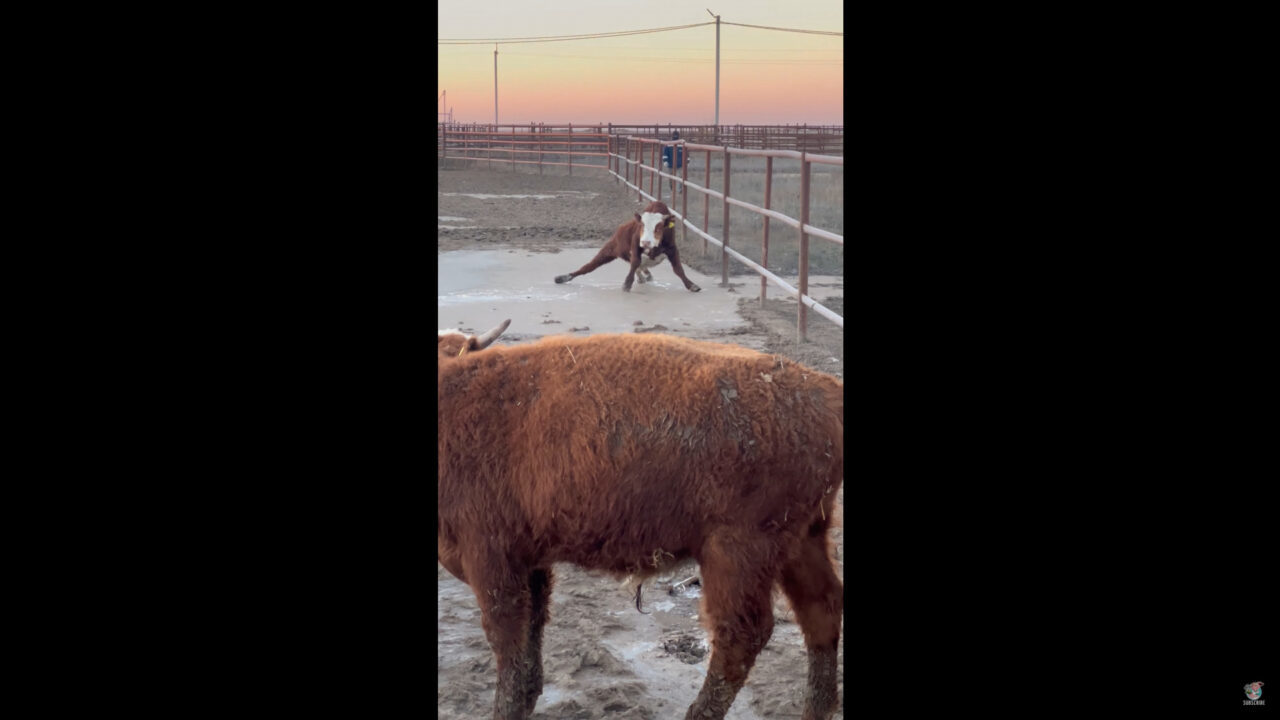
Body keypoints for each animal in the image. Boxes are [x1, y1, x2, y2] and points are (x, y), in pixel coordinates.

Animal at [435, 319, 844, 717]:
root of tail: (826, 387)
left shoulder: (492, 564)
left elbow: (508, 648)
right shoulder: (530, 563)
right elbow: (530, 644)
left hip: (738, 553)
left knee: (742, 635)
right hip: (803, 540)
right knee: (821, 609)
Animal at [555, 198, 706, 292]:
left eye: (658, 228)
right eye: (642, 226)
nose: (645, 242)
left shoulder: (673, 249)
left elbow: (678, 269)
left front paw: (692, 285)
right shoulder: (635, 245)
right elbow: (635, 263)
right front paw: (627, 284)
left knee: (641, 268)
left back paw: (645, 276)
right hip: (610, 248)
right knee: (589, 266)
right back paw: (563, 277)